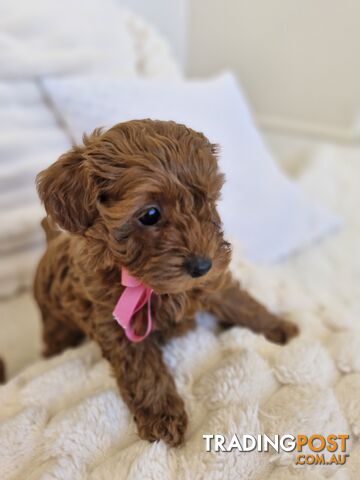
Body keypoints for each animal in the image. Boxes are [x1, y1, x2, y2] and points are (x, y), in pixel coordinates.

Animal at [34, 120, 298, 446]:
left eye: (207, 201)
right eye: (150, 214)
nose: (202, 265)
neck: (146, 282)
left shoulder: (211, 282)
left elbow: (241, 303)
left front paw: (279, 326)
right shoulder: (118, 326)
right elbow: (144, 372)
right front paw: (162, 417)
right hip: (55, 322)